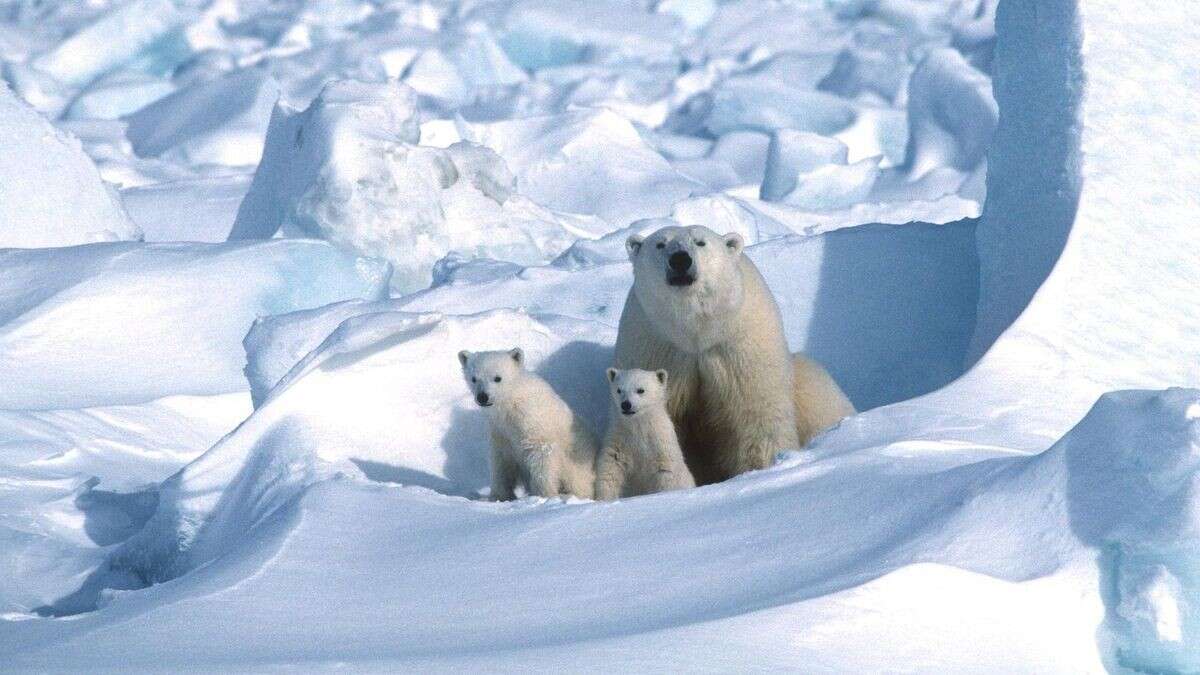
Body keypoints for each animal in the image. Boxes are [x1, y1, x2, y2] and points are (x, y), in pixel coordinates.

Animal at [456, 345, 597, 499]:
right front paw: (499, 495)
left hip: (576, 462)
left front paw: (544, 494)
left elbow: (542, 455)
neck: (511, 402)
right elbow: (502, 461)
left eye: (497, 378)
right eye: (474, 378)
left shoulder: (533, 423)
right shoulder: (501, 430)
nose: (482, 397)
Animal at [592, 365, 696, 497]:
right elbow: (610, 469)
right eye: (619, 390)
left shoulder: (660, 446)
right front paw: (606, 497)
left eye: (640, 390)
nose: (626, 404)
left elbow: (666, 473)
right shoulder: (618, 441)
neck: (638, 425)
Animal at [614, 222, 859, 482]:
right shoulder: (657, 345)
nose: (680, 259)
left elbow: (755, 414)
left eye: (700, 242)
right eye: (661, 244)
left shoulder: (738, 346)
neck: (696, 331)